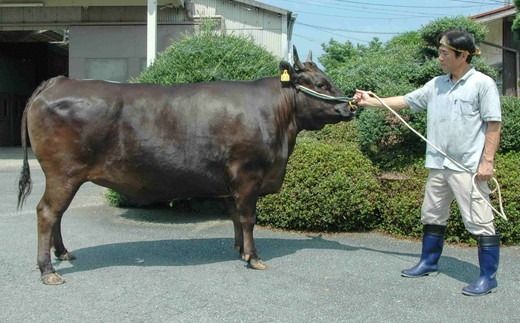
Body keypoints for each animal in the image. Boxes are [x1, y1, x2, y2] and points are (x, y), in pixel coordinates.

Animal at [18, 46, 356, 284]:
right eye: (320, 83)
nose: (350, 107)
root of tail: (58, 81)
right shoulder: (247, 174)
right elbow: (248, 217)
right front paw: (253, 256)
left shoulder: (229, 181)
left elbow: (235, 217)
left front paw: (238, 249)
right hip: (64, 172)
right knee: (47, 212)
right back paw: (47, 270)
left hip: (66, 176)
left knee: (57, 214)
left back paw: (63, 253)